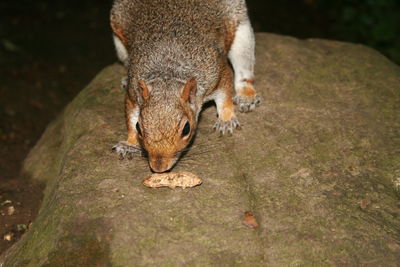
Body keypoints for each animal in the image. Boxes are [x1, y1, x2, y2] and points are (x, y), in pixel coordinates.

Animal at [110, 0, 260, 174]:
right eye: (139, 128)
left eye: (186, 129)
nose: (159, 168)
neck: (168, 73)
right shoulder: (134, 92)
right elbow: (131, 115)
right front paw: (130, 144)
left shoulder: (217, 73)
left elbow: (225, 97)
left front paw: (226, 120)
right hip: (119, 41)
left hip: (241, 28)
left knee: (244, 69)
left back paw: (246, 96)